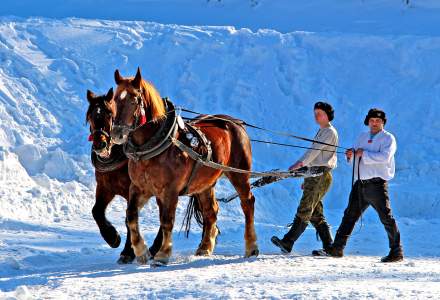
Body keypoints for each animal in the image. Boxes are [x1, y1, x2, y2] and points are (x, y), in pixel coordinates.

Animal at [86, 88, 162, 264]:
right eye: (90, 116)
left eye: (110, 114)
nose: (100, 145)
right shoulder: (105, 188)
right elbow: (96, 211)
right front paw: (112, 237)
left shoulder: (132, 190)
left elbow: (129, 218)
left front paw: (128, 252)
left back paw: (157, 247)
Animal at [110, 68, 260, 264]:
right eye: (114, 100)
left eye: (134, 100)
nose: (117, 134)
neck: (154, 145)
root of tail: (236, 123)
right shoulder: (139, 188)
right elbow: (131, 216)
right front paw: (141, 251)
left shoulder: (169, 191)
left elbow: (167, 220)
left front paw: (162, 254)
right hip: (205, 184)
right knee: (211, 211)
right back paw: (205, 247)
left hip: (239, 174)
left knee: (247, 203)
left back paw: (251, 246)